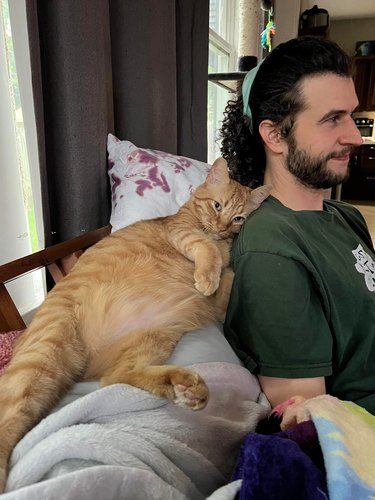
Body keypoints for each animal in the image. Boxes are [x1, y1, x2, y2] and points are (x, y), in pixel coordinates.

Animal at [0, 157, 272, 488]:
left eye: (238, 218)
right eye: (217, 206)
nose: (221, 227)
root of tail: (86, 365)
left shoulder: (221, 290)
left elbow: (229, 278)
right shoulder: (182, 233)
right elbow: (207, 252)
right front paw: (207, 276)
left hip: (155, 336)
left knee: (116, 377)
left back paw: (185, 388)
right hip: (43, 356)